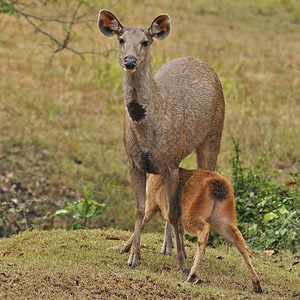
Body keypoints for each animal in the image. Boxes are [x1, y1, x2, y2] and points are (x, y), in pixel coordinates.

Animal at [97, 10, 224, 270]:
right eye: (121, 40)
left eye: (145, 42)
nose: (130, 61)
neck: (147, 130)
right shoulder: (134, 160)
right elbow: (139, 208)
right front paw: (133, 257)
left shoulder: (170, 162)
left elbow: (175, 211)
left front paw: (183, 262)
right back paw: (164, 247)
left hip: (214, 134)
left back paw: (195, 254)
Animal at [123, 169, 262, 292]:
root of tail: (217, 185)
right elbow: (179, 232)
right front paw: (183, 256)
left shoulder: (152, 202)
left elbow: (142, 222)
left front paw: (126, 250)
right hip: (223, 217)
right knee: (238, 238)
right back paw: (257, 283)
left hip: (191, 212)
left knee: (204, 230)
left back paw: (192, 275)